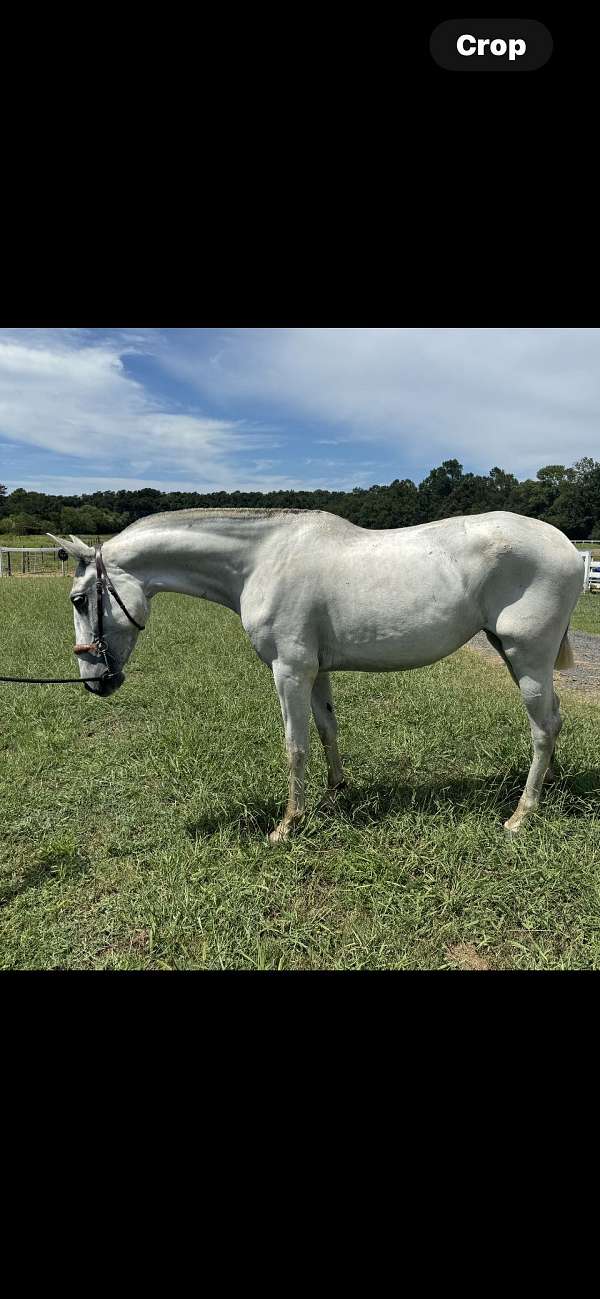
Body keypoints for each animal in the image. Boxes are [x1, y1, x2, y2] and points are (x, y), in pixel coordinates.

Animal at [49, 506, 584, 841]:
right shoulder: (316, 671)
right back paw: (548, 786)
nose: (95, 680)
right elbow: (327, 729)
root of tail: (568, 548)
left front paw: (288, 824)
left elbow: (295, 745)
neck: (261, 560)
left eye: (78, 600)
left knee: (543, 727)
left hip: (527, 656)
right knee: (553, 720)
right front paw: (334, 795)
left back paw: (521, 815)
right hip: (512, 655)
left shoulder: (290, 671)